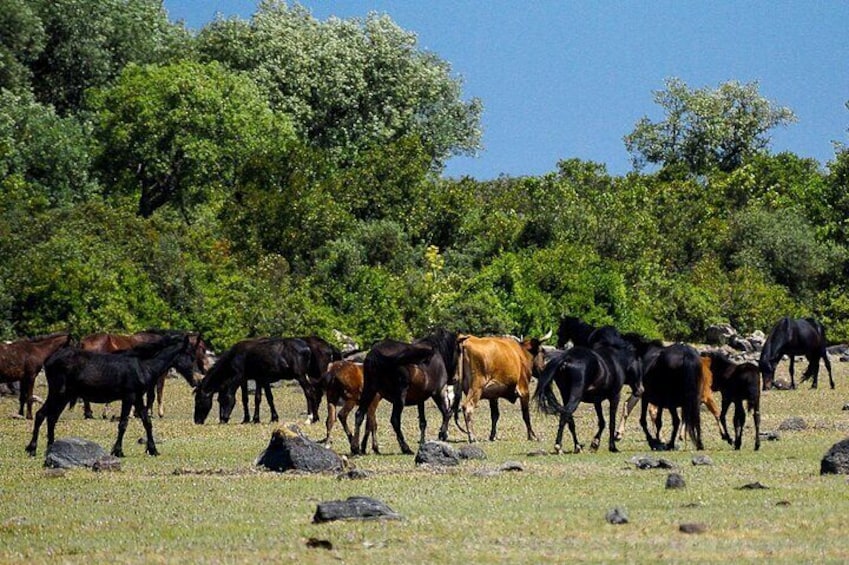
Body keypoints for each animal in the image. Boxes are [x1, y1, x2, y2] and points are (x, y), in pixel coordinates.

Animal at [24, 332, 197, 456]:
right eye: (190, 355)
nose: (195, 381)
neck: (141, 365)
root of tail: (49, 360)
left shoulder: (138, 398)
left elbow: (147, 422)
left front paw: (153, 449)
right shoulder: (129, 397)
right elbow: (123, 424)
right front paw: (118, 451)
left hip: (64, 396)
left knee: (51, 417)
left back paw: (51, 448)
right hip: (58, 393)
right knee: (41, 415)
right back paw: (32, 449)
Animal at [80, 328, 210, 416]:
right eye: (201, 349)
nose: (198, 379)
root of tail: (83, 342)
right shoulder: (158, 376)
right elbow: (155, 394)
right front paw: (152, 412)